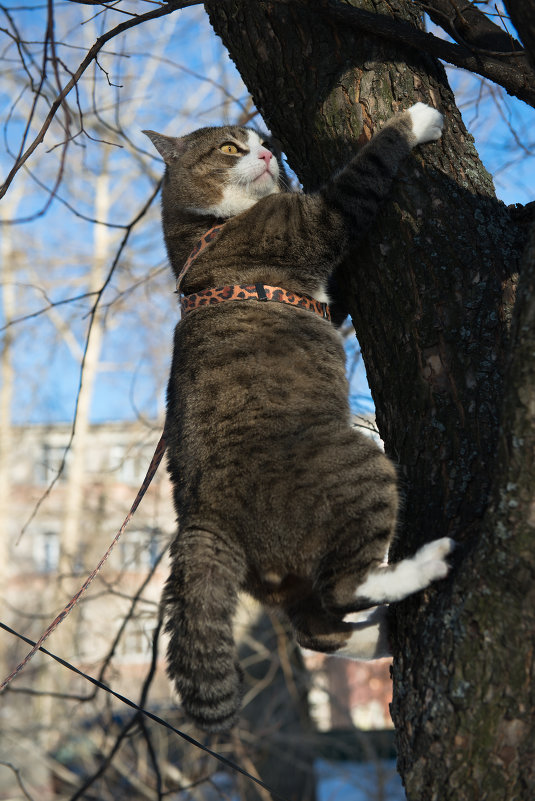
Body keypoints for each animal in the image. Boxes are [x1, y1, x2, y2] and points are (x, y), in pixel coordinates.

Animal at [144, 103, 454, 736]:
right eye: (230, 148)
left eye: (265, 141)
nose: (268, 152)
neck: (206, 234)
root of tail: (201, 521)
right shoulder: (315, 220)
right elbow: (363, 171)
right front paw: (416, 119)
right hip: (359, 465)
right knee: (344, 589)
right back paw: (424, 565)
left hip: (287, 582)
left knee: (318, 628)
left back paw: (380, 637)